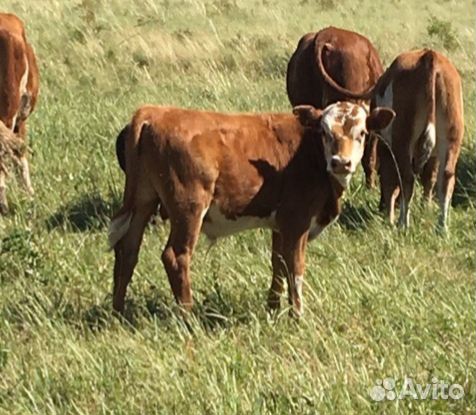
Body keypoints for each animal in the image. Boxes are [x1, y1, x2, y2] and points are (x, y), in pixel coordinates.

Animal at [109, 103, 394, 316]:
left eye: (362, 133)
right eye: (325, 132)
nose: (341, 162)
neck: (309, 153)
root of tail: (154, 112)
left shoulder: (281, 225)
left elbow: (278, 264)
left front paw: (273, 309)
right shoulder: (297, 221)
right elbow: (295, 268)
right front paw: (297, 315)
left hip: (142, 201)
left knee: (128, 250)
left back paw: (119, 311)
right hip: (188, 207)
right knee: (176, 256)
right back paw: (187, 316)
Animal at [318, 48, 462, 234]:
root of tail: (429, 57)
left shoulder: (385, 147)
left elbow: (388, 180)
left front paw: (390, 216)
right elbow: (429, 177)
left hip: (402, 139)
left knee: (406, 178)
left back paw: (403, 224)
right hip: (451, 138)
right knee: (446, 178)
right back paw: (442, 228)